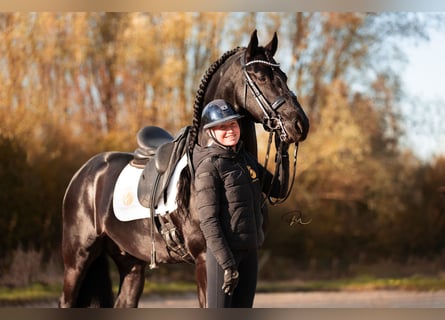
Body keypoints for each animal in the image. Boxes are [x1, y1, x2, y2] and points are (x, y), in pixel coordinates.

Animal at [59, 30, 308, 308]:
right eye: (261, 77)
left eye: (284, 76)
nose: (299, 124)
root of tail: (84, 174)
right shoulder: (205, 261)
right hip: (77, 259)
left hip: (131, 263)